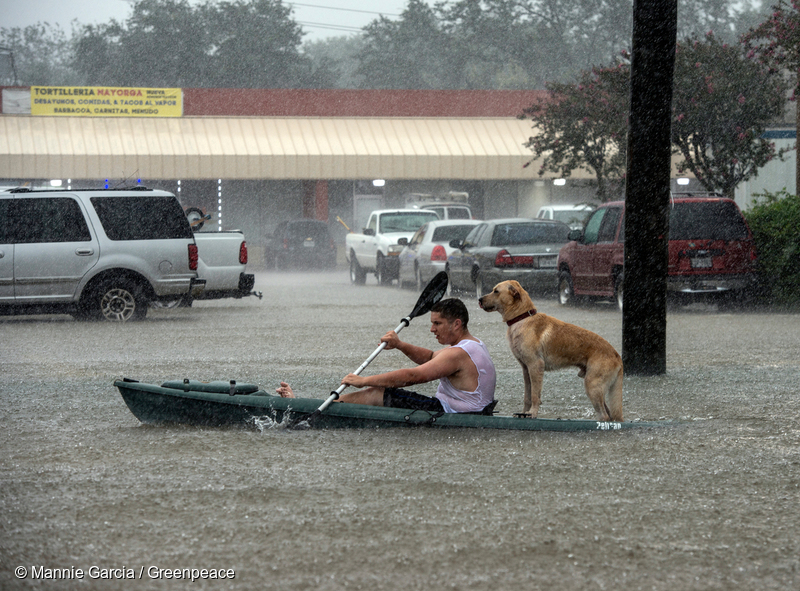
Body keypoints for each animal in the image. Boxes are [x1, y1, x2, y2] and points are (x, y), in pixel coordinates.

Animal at [478, 280, 620, 420]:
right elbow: (527, 396)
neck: (522, 317)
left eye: (496, 291)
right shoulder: (526, 369)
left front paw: (532, 413)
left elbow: (535, 395)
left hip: (592, 385)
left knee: (604, 416)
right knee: (608, 414)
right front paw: (524, 413)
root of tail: (617, 356)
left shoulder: (535, 366)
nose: (479, 299)